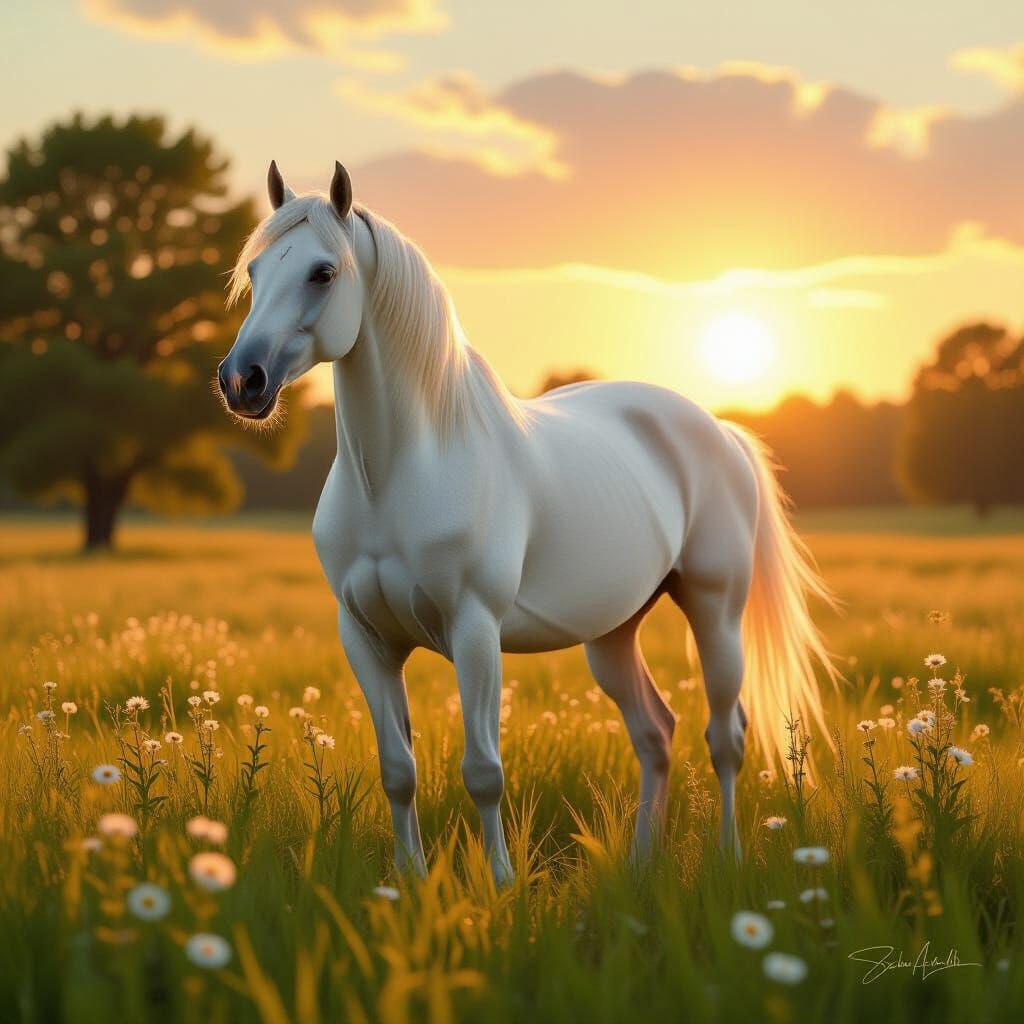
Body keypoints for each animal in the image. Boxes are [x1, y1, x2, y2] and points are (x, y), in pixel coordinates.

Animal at [217, 160, 835, 885]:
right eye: (256, 270)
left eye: (322, 272)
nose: (242, 380)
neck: (398, 472)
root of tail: (720, 430)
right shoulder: (365, 637)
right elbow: (398, 771)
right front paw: (410, 880)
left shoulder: (474, 630)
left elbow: (484, 771)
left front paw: (502, 884)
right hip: (613, 633)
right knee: (655, 733)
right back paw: (639, 866)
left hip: (716, 611)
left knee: (726, 736)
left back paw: (729, 858)